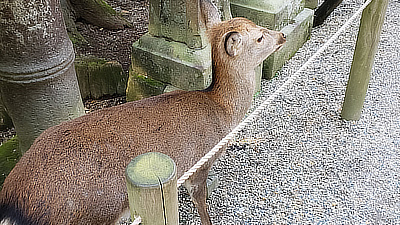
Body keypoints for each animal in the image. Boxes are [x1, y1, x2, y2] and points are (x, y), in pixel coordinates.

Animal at [0, 7, 286, 225]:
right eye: (260, 37)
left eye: (258, 27)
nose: (282, 35)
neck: (223, 111)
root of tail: (12, 199)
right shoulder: (199, 162)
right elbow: (201, 204)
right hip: (92, 214)